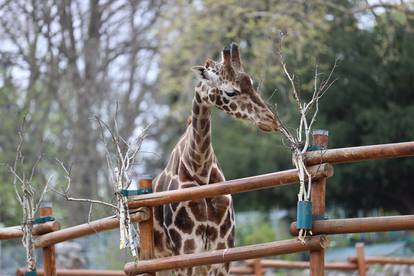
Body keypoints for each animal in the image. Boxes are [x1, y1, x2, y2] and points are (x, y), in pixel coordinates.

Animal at [152, 42, 282, 274]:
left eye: (251, 83)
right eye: (230, 91)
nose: (271, 120)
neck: (199, 170)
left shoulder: (222, 250)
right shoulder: (185, 251)